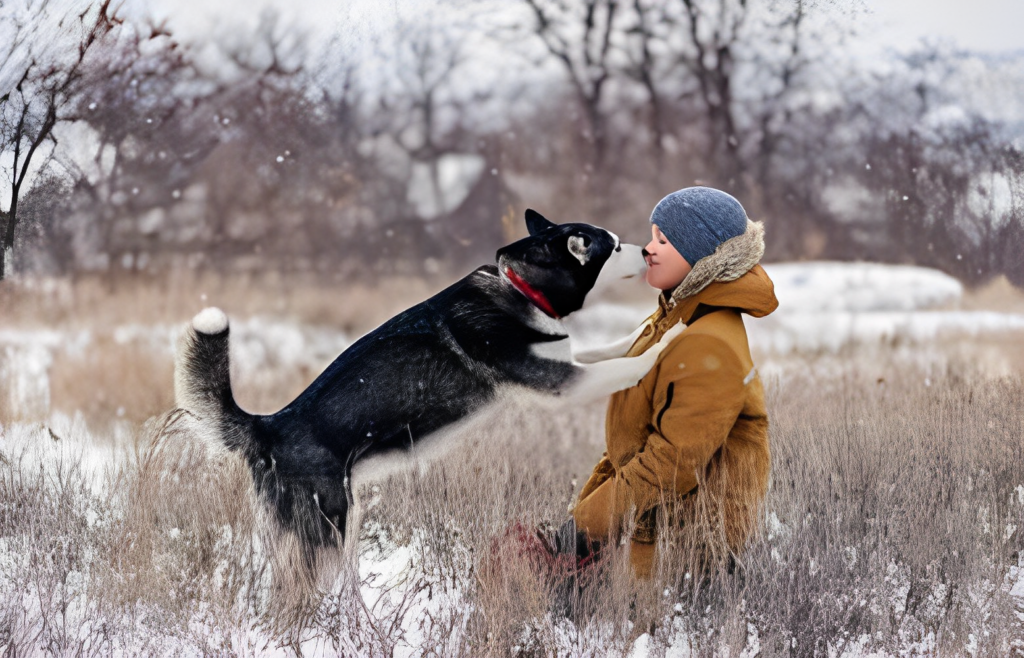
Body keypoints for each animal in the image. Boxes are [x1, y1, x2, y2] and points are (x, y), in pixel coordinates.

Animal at [176, 210, 679, 560]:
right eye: (614, 246)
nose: (644, 250)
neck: (521, 288)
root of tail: (269, 426)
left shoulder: (566, 362)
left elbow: (615, 349)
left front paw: (651, 333)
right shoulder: (560, 383)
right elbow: (626, 365)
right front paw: (669, 341)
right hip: (326, 525)